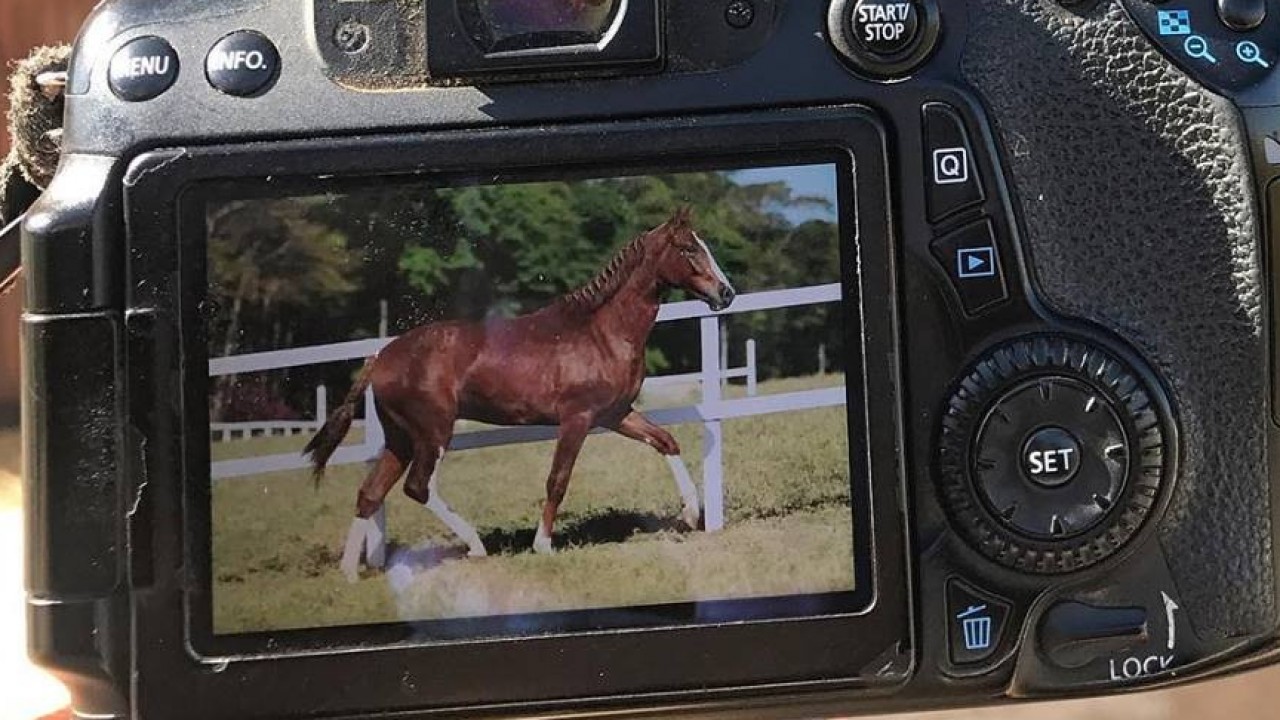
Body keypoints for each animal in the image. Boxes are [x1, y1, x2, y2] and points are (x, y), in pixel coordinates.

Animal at [303, 207, 737, 576]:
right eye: (688, 248)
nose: (726, 293)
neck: (600, 332)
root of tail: (381, 357)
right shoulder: (577, 419)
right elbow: (557, 479)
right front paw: (543, 545)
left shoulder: (615, 415)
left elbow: (666, 441)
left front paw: (691, 514)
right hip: (432, 432)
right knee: (417, 486)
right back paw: (476, 546)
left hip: (401, 438)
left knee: (370, 493)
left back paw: (349, 574)